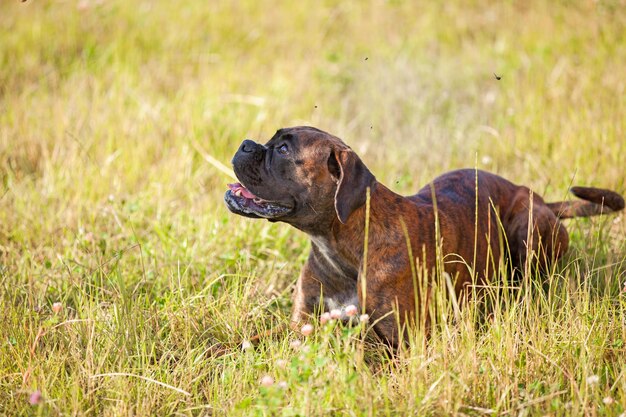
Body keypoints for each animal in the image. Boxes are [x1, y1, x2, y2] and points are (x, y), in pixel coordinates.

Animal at [223, 126, 620, 344]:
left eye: (284, 149)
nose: (244, 143)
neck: (341, 248)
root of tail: (538, 197)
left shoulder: (399, 342)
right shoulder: (300, 324)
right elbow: (247, 341)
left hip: (527, 228)